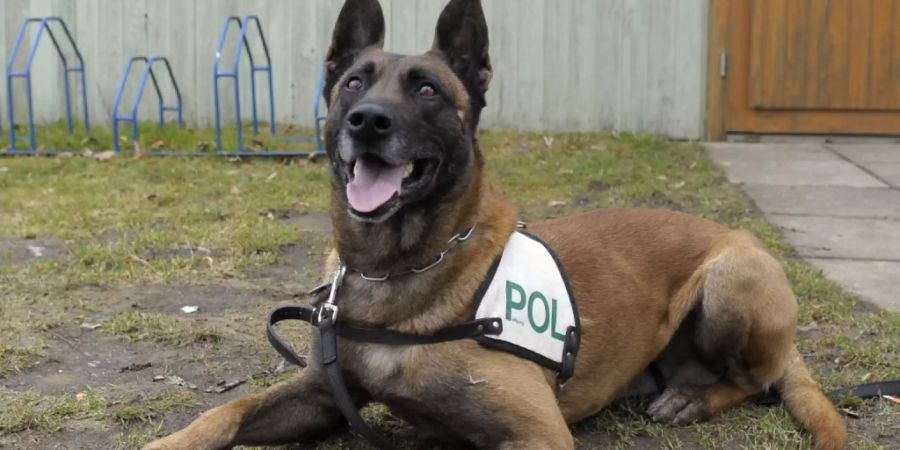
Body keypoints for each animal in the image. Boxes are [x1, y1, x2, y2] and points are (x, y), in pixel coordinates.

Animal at [144, 0, 848, 450]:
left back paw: (694, 400)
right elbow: (224, 412)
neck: (397, 269)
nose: (368, 121)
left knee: (757, 382)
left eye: (427, 90)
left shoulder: (537, 433)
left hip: (731, 278)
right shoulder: (320, 395)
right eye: (353, 84)